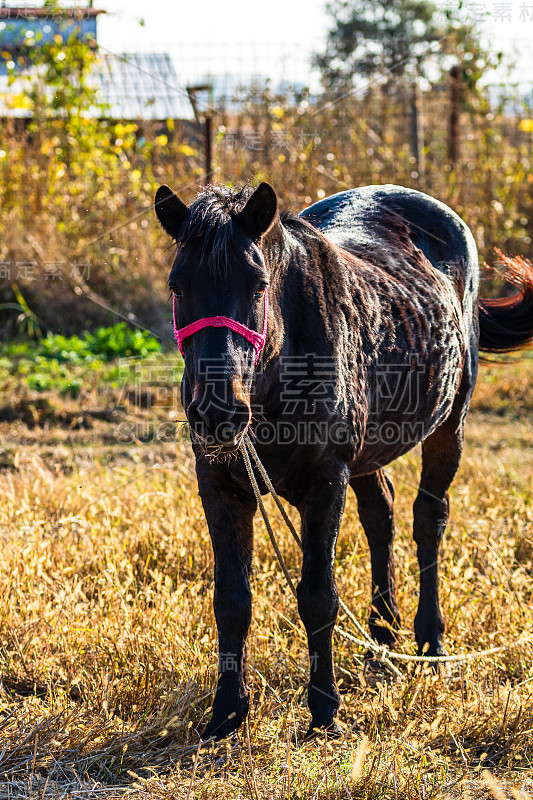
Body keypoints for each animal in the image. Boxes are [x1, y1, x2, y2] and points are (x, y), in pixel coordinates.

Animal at [154, 181, 532, 736]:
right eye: (178, 287)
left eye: (258, 286)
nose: (218, 410)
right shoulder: (220, 481)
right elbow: (232, 600)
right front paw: (226, 712)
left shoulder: (325, 479)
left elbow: (317, 595)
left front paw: (324, 711)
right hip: (369, 454)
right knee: (381, 514)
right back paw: (382, 640)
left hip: (449, 423)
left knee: (428, 518)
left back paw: (430, 644)